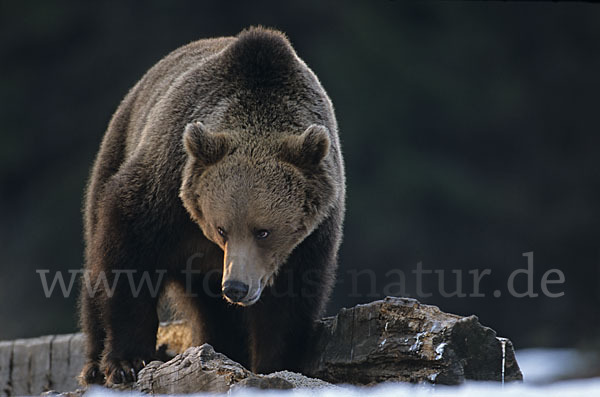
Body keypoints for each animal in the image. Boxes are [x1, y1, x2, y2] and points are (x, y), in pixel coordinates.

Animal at [77, 26, 344, 386]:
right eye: (222, 228)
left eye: (263, 231)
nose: (236, 287)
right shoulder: (165, 189)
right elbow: (126, 256)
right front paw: (127, 361)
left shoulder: (312, 234)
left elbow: (291, 302)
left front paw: (276, 363)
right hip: (116, 149)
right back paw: (93, 364)